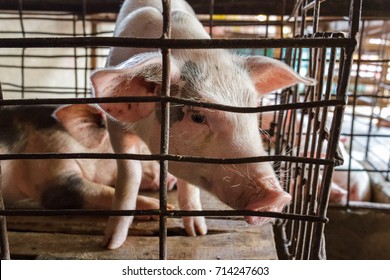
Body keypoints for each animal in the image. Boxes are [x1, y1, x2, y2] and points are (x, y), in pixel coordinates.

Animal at [90, 0, 314, 249]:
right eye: (197, 117)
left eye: (252, 108)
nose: (278, 197)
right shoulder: (116, 127)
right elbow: (130, 174)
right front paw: (111, 244)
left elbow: (189, 185)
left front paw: (198, 233)